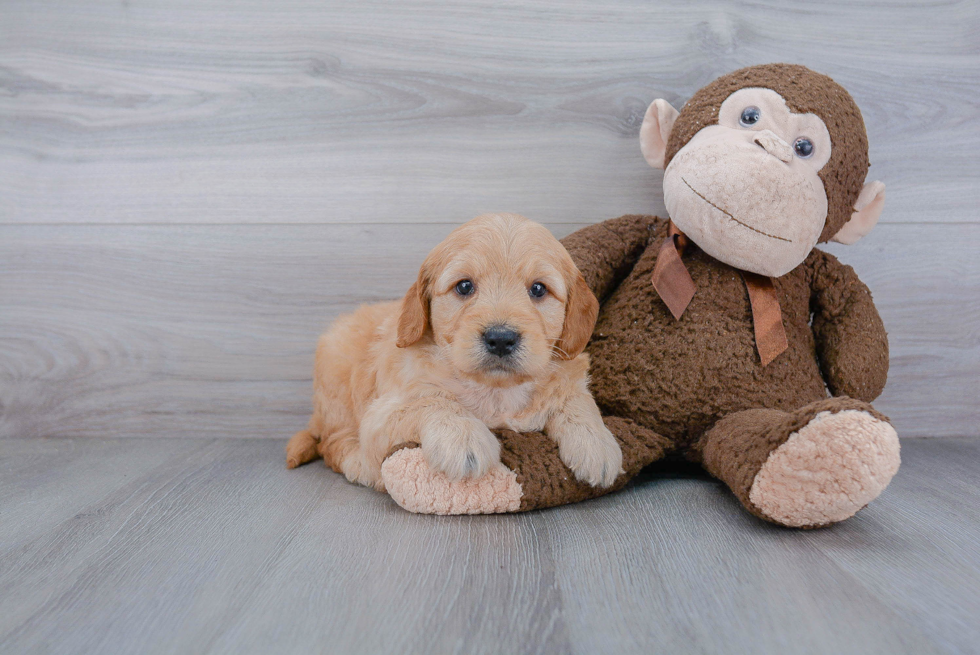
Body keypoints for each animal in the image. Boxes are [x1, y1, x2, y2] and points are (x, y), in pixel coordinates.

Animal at [286, 214, 620, 492]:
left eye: (538, 289)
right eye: (464, 286)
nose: (501, 339)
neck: (495, 391)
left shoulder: (568, 375)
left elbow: (577, 400)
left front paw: (598, 443)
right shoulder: (382, 412)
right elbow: (433, 400)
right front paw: (464, 437)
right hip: (337, 382)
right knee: (332, 443)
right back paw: (360, 465)